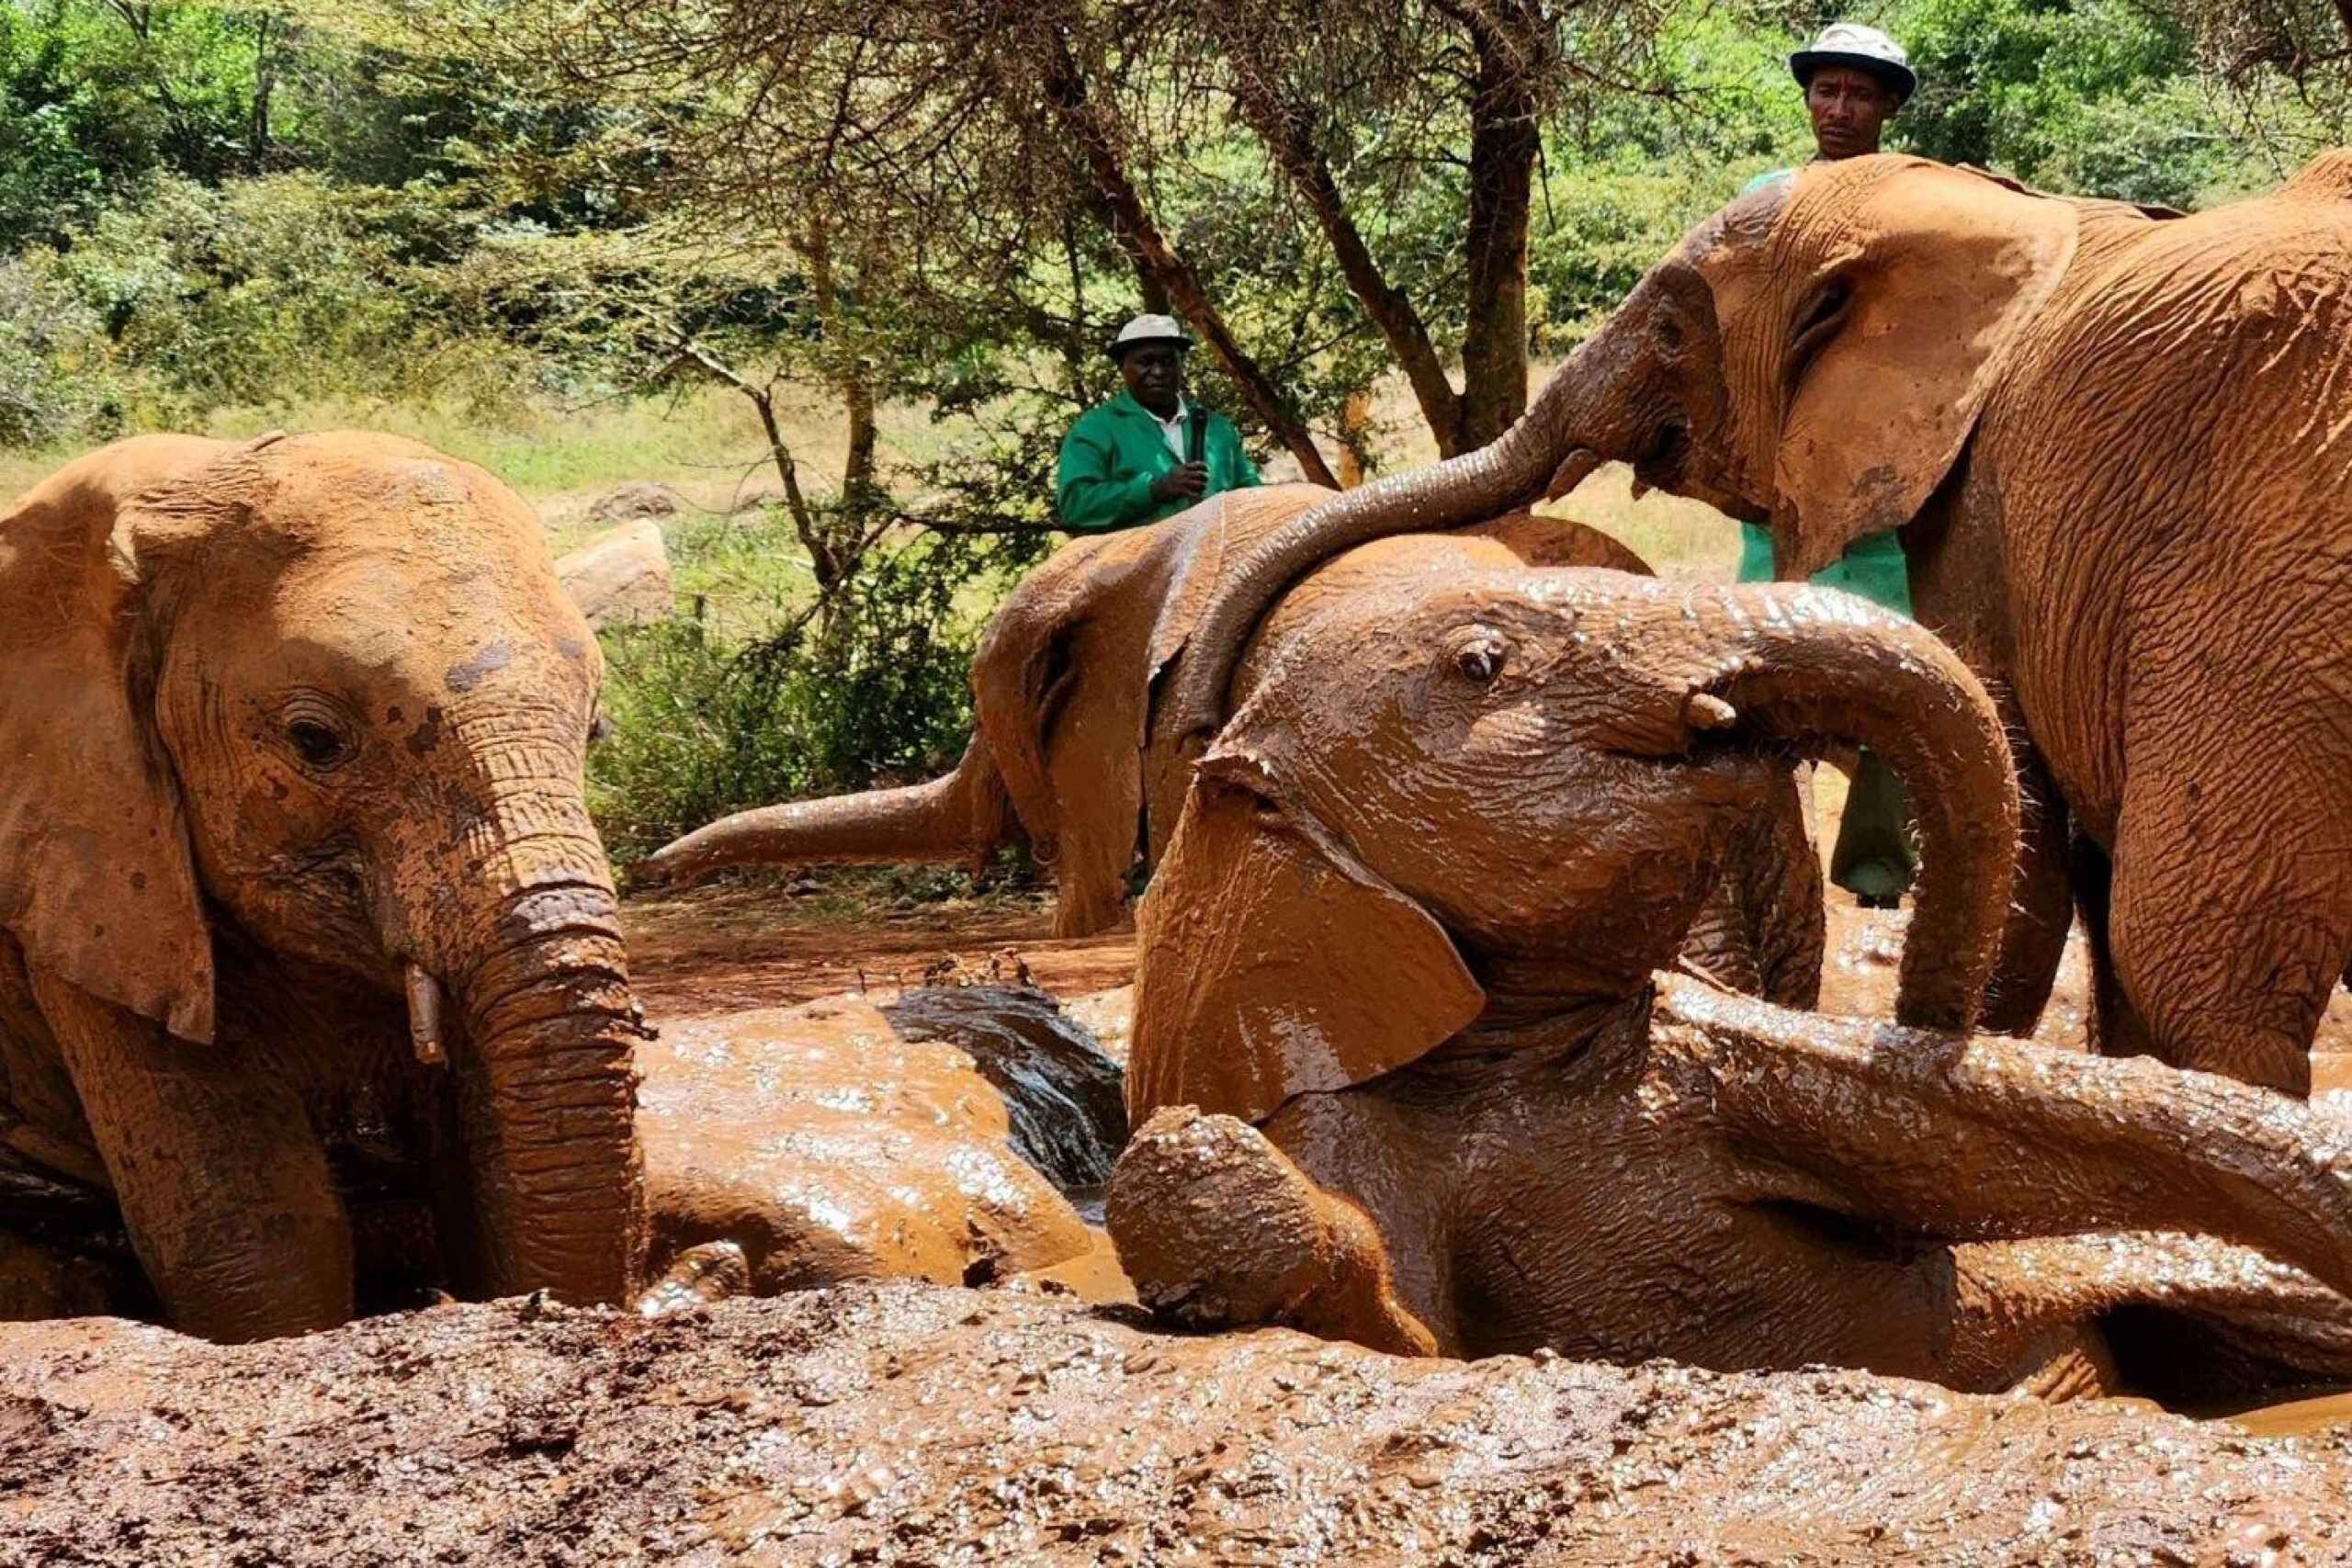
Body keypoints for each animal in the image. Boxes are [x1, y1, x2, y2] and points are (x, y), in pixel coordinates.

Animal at [1105, 566, 2352, 1401]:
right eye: (1482, 664)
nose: (1935, 1004)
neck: (1514, 1057)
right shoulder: (1340, 1111)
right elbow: (1407, 1335)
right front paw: (1201, 1177)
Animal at [1166, 152, 2352, 1100]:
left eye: (1669, 331)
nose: (1193, 729)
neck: (1999, 211)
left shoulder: (1988, 503)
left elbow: (2033, 842)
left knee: (2201, 958)